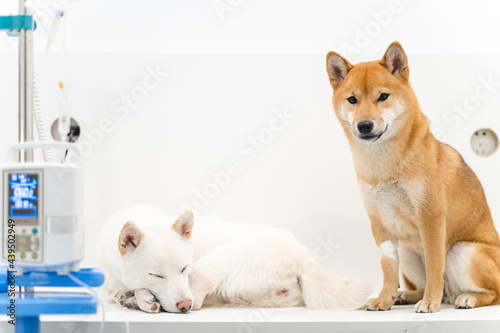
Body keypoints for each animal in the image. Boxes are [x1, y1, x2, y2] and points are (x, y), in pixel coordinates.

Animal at [97, 204, 372, 312]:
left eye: (184, 269)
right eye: (156, 274)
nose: (183, 306)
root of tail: (307, 259)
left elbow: (139, 291)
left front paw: (142, 299)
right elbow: (113, 292)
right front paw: (129, 297)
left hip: (214, 263)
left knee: (198, 301)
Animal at [326, 41, 500, 312]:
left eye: (383, 96)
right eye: (352, 99)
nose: (364, 125)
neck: (383, 166)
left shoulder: (431, 218)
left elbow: (434, 266)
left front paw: (429, 303)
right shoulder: (380, 225)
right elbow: (388, 269)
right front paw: (384, 299)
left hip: (462, 252)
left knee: (493, 294)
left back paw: (466, 298)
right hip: (407, 251)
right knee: (421, 283)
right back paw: (405, 295)